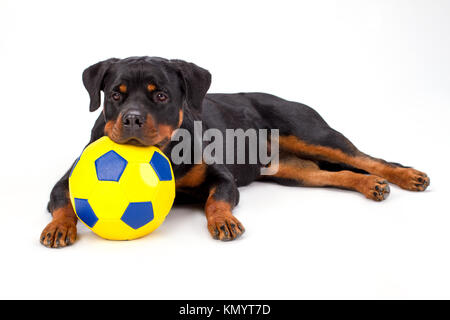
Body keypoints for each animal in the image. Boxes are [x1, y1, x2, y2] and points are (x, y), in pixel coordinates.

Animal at [41, 57, 428, 248]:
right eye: (115, 95)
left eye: (161, 95)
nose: (132, 119)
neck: (166, 153)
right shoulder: (65, 181)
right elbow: (62, 203)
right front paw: (58, 227)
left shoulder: (222, 178)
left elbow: (216, 200)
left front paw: (223, 221)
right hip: (295, 172)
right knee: (338, 174)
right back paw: (371, 185)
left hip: (313, 133)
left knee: (366, 159)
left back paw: (407, 176)